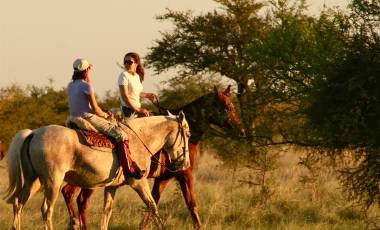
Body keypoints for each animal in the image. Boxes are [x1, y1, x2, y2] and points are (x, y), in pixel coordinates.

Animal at [3, 112, 190, 230]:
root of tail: (34, 133)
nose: (185, 163)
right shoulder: (139, 182)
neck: (138, 139)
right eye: (187, 134)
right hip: (52, 182)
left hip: (33, 181)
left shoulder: (111, 187)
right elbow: (153, 207)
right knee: (46, 210)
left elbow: (107, 212)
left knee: (18, 203)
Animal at [59, 85, 243, 229]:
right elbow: (191, 204)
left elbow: (152, 203)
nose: (241, 131)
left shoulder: (163, 178)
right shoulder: (185, 173)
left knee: (69, 194)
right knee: (79, 199)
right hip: (91, 179)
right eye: (227, 106)